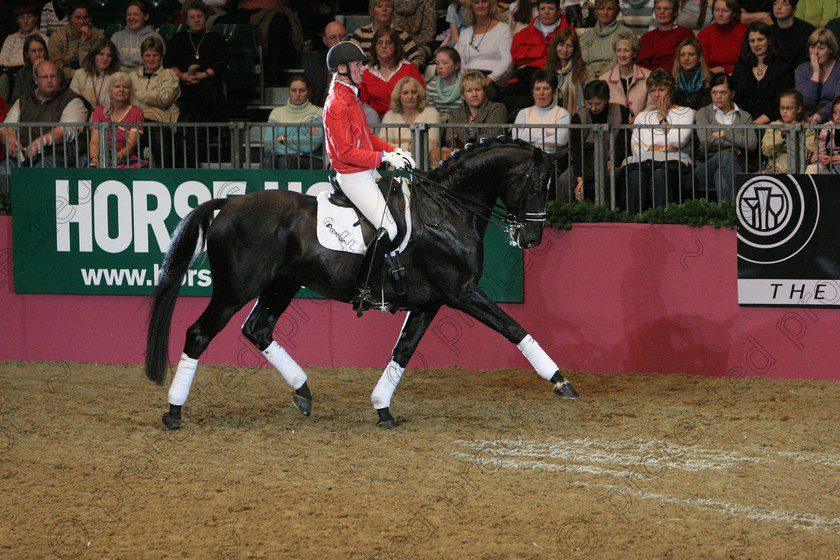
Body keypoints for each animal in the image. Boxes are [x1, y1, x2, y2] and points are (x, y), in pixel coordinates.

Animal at [146, 136, 576, 428]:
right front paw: (560, 381)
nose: (531, 238)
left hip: (281, 285)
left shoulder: (429, 302)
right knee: (198, 334)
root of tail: (229, 203)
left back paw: (303, 392)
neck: (446, 209)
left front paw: (382, 408)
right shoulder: (462, 292)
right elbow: (514, 327)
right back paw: (174, 412)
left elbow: (403, 351)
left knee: (257, 329)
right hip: (235, 290)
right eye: (537, 185)